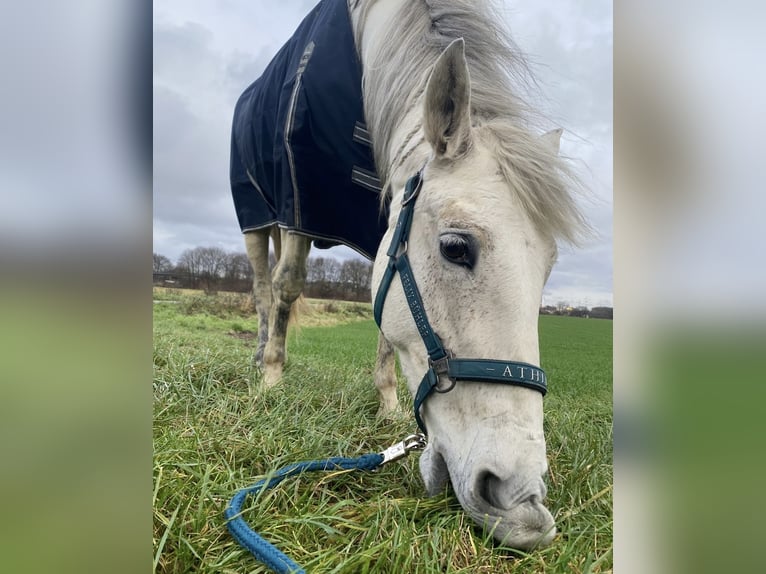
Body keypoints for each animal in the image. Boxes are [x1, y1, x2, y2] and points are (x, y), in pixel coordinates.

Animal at [237, 0, 584, 552]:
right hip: (257, 213)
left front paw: (387, 404)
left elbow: (381, 313)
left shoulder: (382, 219)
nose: (522, 500)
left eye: (549, 267)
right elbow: (289, 284)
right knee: (263, 289)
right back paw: (261, 356)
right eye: (455, 247)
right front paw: (273, 379)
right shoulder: (299, 205)